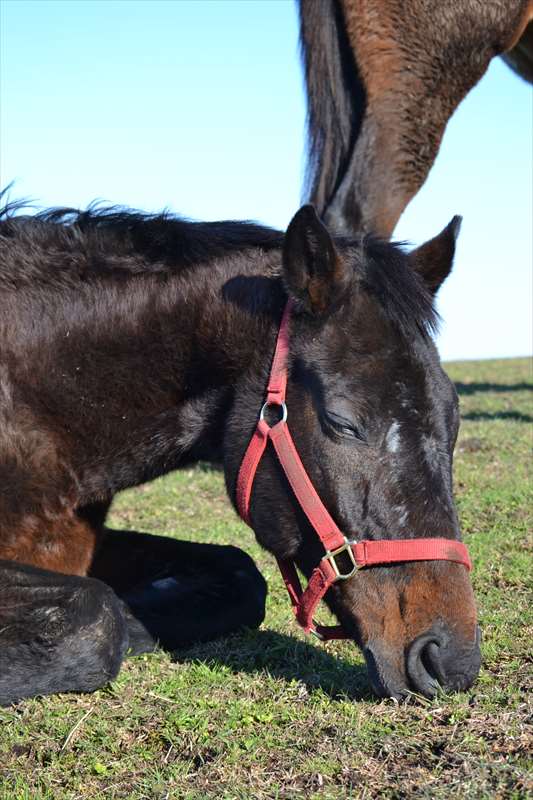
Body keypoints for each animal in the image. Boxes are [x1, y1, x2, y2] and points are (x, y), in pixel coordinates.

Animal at [0, 198, 480, 704]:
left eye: (453, 418)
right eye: (343, 422)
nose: (450, 660)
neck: (36, 405)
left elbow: (239, 574)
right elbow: (96, 612)